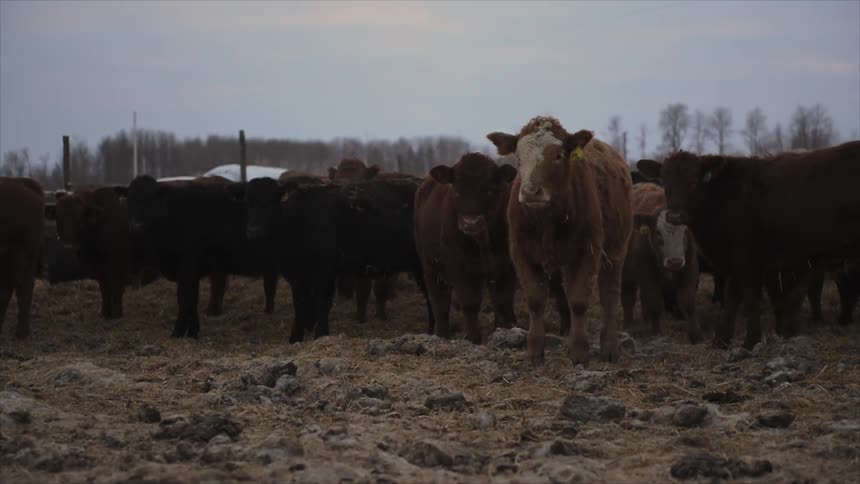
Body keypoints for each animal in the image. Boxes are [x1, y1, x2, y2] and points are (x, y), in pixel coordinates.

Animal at [127, 175, 279, 338]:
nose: (136, 225)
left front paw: (179, 332)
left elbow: (185, 299)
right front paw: (192, 331)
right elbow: (191, 300)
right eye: (130, 201)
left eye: (151, 199)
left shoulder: (187, 269)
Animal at [244, 177, 432, 343]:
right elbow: (300, 303)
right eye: (248, 203)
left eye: (270, 202)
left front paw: (321, 335)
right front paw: (295, 338)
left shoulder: (324, 271)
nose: (253, 230)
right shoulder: (296, 276)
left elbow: (322, 301)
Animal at [487, 116, 633, 365]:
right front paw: (534, 351)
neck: (547, 220)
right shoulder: (521, 252)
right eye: (519, 157)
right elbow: (536, 300)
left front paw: (580, 352)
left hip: (616, 251)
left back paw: (610, 348)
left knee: (609, 296)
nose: (530, 191)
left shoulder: (589, 251)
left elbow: (578, 300)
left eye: (557, 155)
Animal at [621, 182, 701, 342]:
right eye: (658, 233)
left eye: (685, 232)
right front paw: (657, 332)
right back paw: (628, 325)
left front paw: (695, 335)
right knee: (628, 298)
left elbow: (688, 301)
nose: (675, 261)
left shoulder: (690, 268)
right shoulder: (648, 275)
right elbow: (655, 304)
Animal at [637, 141, 860, 349]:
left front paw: (750, 341)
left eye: (693, 181)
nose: (675, 216)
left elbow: (750, 299)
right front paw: (722, 340)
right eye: (665, 181)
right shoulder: (735, 259)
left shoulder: (748, 257)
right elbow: (732, 298)